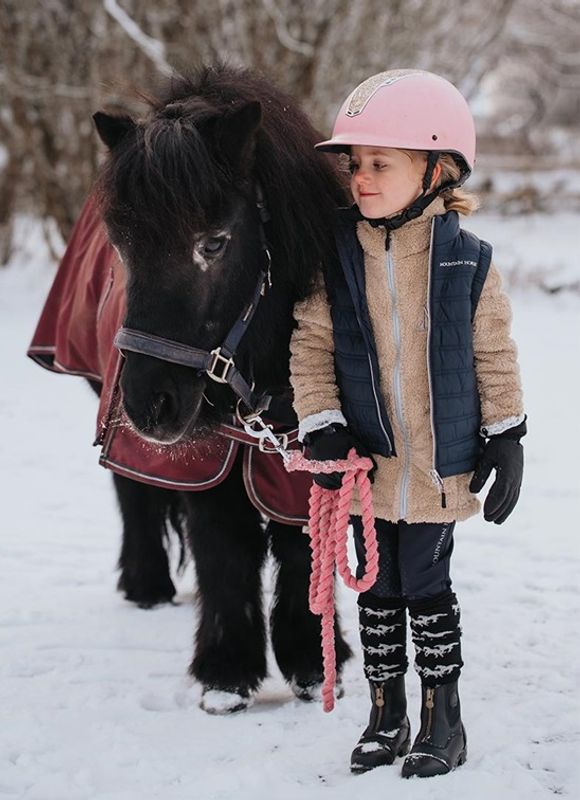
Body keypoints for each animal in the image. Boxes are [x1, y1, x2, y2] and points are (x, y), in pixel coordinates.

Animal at [90, 64, 352, 713]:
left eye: (212, 242)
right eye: (120, 245)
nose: (149, 405)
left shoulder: (306, 449)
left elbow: (300, 541)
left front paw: (311, 662)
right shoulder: (206, 454)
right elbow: (223, 548)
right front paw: (226, 673)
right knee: (132, 492)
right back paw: (146, 584)